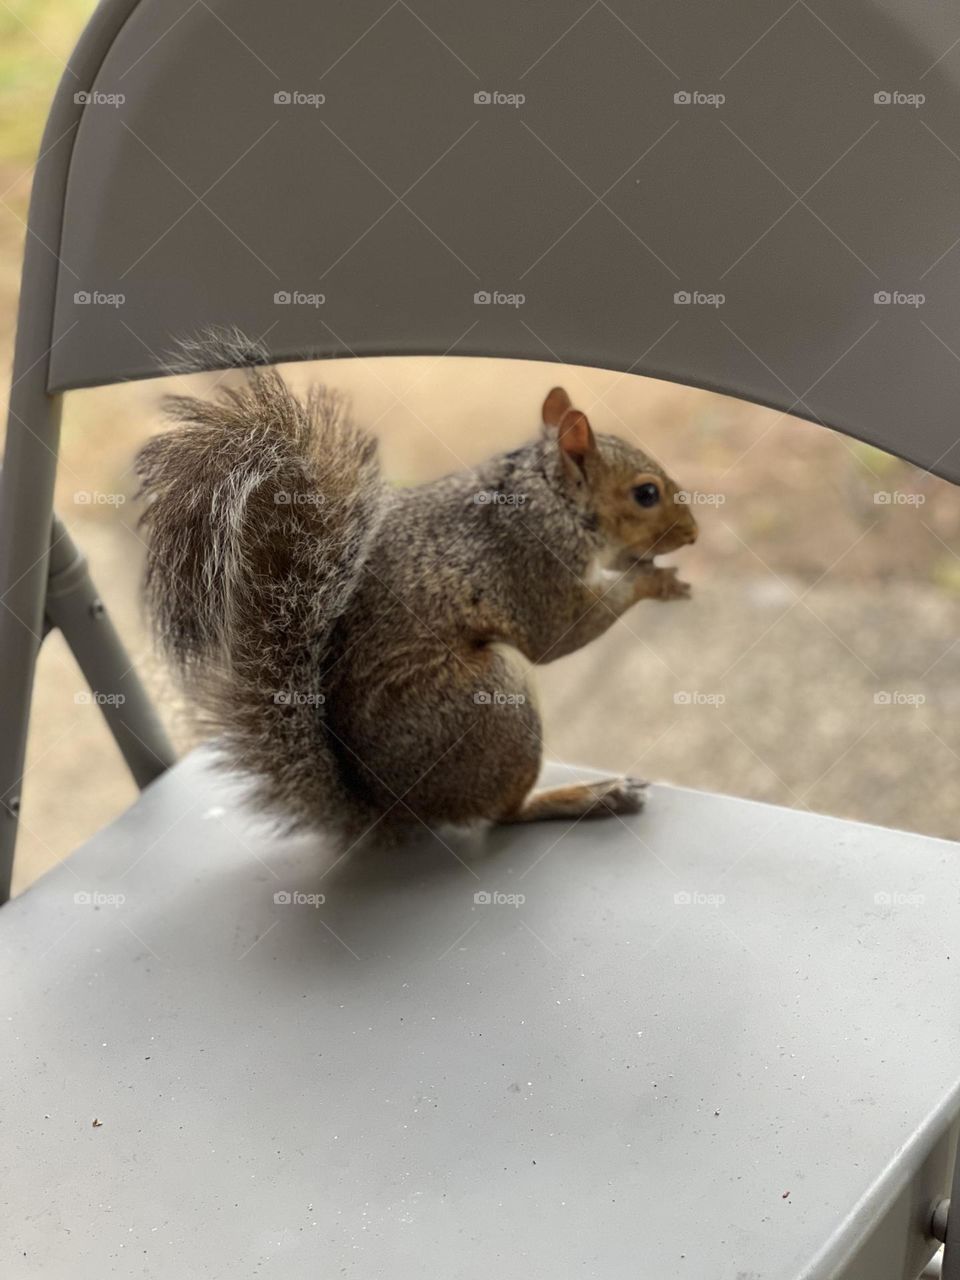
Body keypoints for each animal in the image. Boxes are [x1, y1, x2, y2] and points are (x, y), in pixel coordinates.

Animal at [135, 334, 698, 848]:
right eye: (646, 494)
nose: (693, 533)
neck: (547, 494)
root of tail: (391, 806)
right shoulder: (529, 561)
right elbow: (558, 634)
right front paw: (655, 580)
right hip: (492, 702)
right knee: (503, 813)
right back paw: (584, 795)